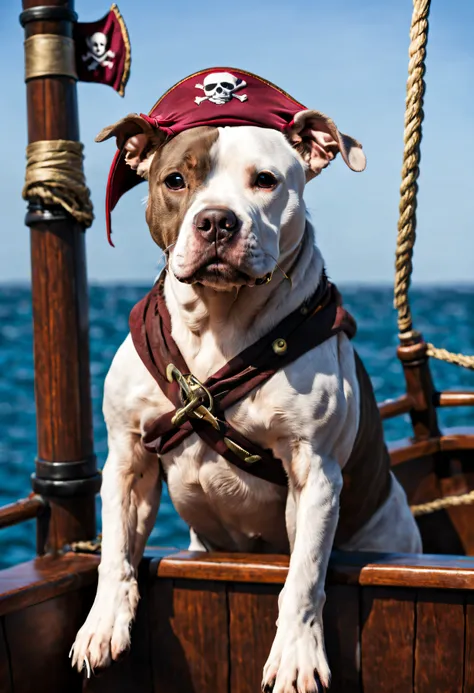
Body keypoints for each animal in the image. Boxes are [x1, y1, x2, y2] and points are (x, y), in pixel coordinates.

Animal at [70, 66, 422, 692]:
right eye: (176, 180)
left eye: (265, 181)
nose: (216, 221)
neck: (219, 324)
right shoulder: (128, 457)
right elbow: (114, 550)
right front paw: (103, 622)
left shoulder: (314, 471)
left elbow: (303, 576)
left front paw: (297, 654)